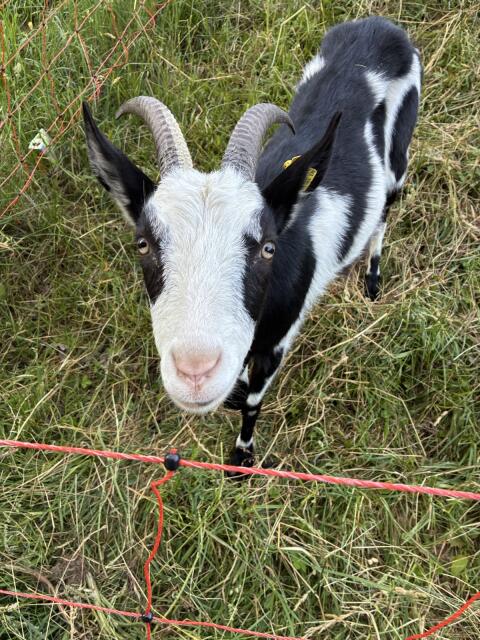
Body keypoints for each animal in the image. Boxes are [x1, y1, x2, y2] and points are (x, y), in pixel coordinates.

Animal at [83, 16, 421, 470]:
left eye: (267, 247)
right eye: (143, 243)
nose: (195, 372)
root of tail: (382, 27)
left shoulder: (276, 343)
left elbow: (254, 402)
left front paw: (241, 459)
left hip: (400, 151)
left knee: (386, 205)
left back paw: (372, 277)